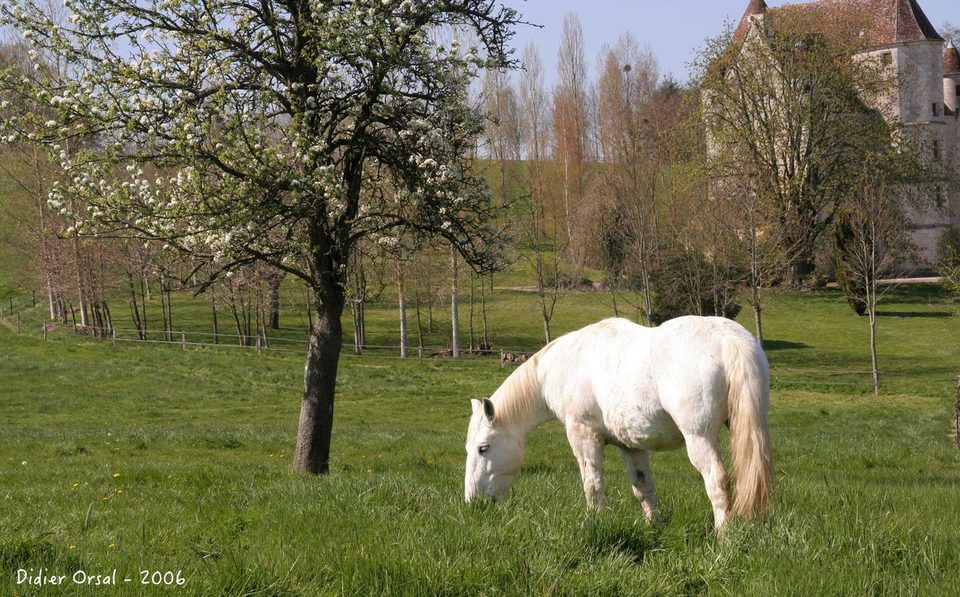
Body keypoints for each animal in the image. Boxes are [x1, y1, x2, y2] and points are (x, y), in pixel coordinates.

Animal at [464, 316, 772, 532]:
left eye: (483, 448)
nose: (473, 502)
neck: (562, 364)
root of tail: (727, 338)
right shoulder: (631, 445)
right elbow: (643, 487)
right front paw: (655, 526)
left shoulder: (583, 435)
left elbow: (593, 483)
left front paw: (596, 520)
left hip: (699, 438)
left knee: (717, 481)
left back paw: (723, 537)